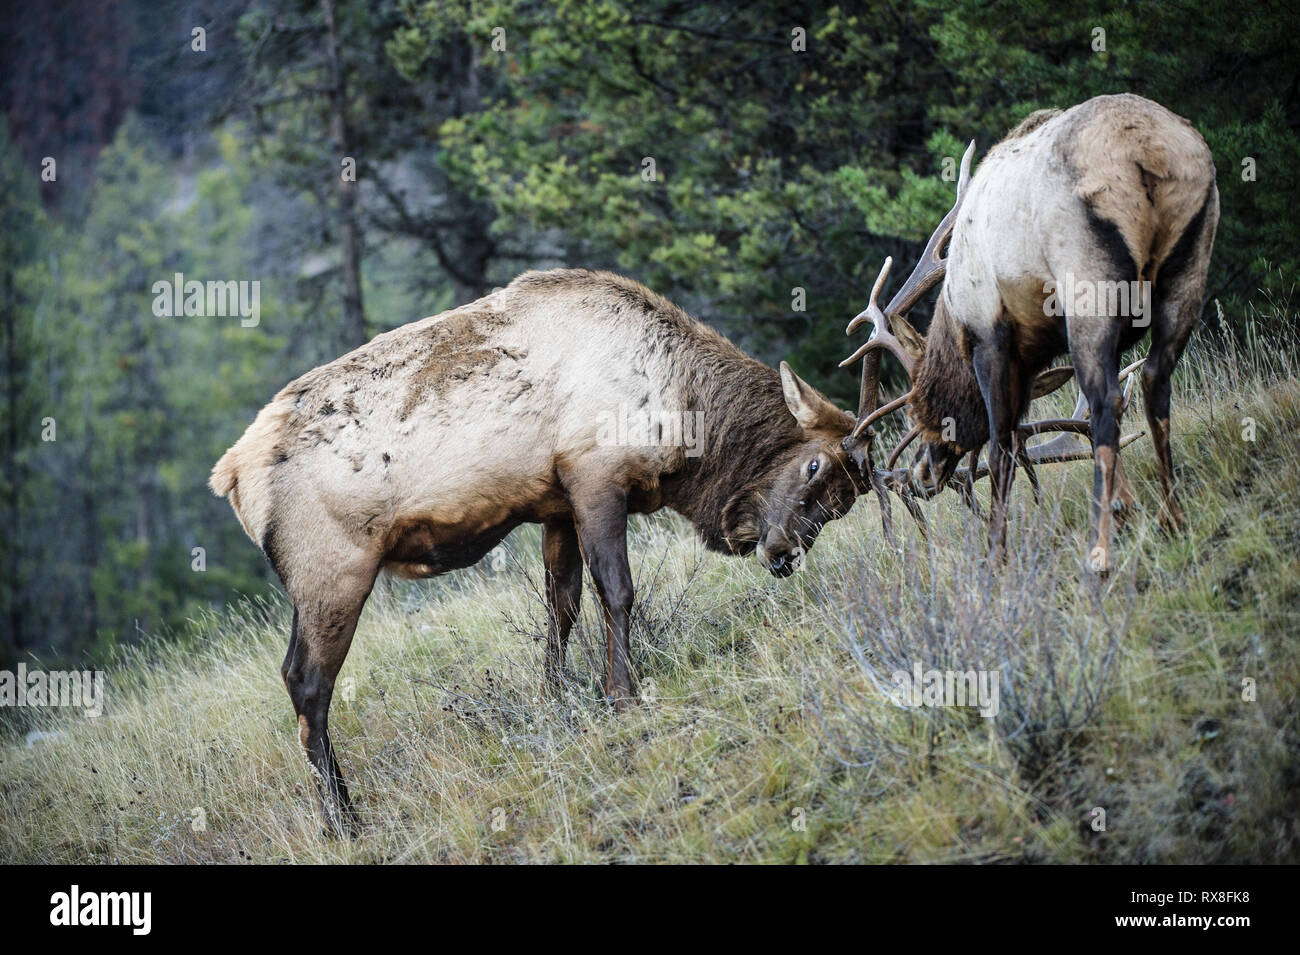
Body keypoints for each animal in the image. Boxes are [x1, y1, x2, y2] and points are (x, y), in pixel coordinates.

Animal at [839, 94, 1219, 574]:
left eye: (923, 403)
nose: (920, 473)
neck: (953, 317)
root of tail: (1146, 152)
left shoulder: (991, 338)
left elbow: (1003, 446)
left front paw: (995, 555)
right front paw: (1126, 504)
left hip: (1087, 281)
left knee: (1107, 399)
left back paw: (1101, 547)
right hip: (1190, 260)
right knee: (1154, 379)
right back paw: (1172, 518)